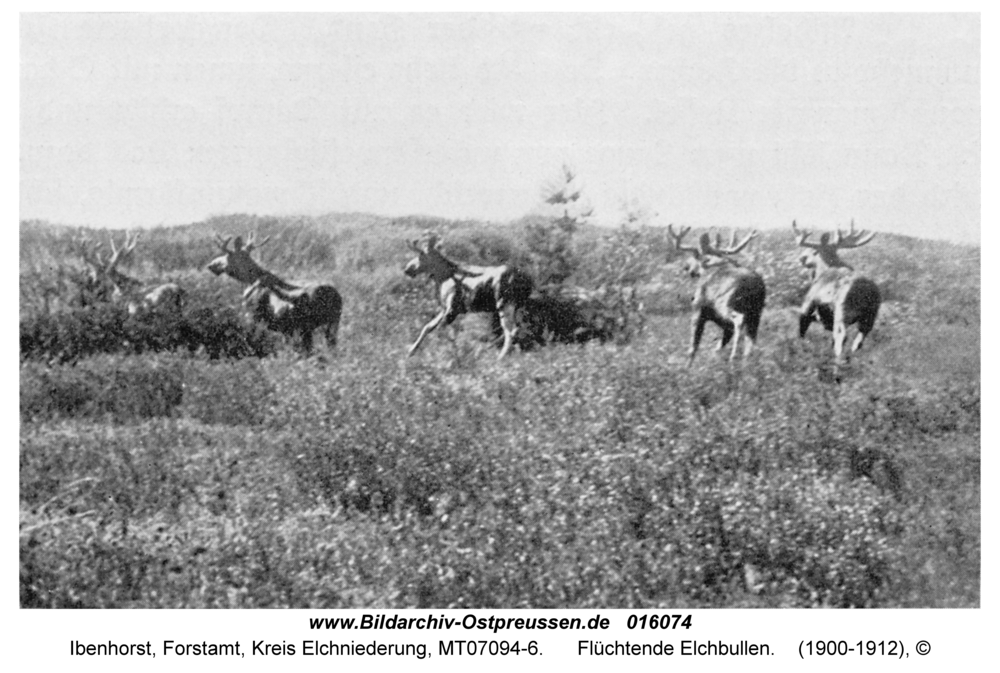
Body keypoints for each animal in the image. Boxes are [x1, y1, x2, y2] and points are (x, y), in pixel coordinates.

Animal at [205, 232, 342, 352]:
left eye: (226, 256)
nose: (211, 264)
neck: (249, 281)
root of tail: (335, 296)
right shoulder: (286, 330)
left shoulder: (252, 317)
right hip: (333, 322)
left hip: (308, 325)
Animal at [402, 231, 536, 356]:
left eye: (421, 254)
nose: (407, 269)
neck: (444, 277)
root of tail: (528, 280)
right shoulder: (445, 309)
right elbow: (427, 328)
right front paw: (411, 351)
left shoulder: (453, 309)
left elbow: (439, 332)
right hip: (517, 307)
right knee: (516, 329)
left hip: (504, 306)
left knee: (510, 331)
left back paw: (499, 357)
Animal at [668, 224, 768, 362]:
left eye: (695, 257)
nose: (686, 266)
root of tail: (756, 285)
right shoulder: (722, 323)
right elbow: (719, 344)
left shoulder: (698, 308)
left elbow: (693, 347)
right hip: (757, 312)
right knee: (751, 336)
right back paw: (747, 359)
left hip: (727, 304)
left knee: (739, 321)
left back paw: (734, 356)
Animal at [792, 219, 880, 362]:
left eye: (812, 251)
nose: (801, 258)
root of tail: (866, 290)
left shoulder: (806, 308)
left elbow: (801, 333)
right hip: (870, 315)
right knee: (860, 338)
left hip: (842, 311)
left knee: (841, 335)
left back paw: (838, 360)